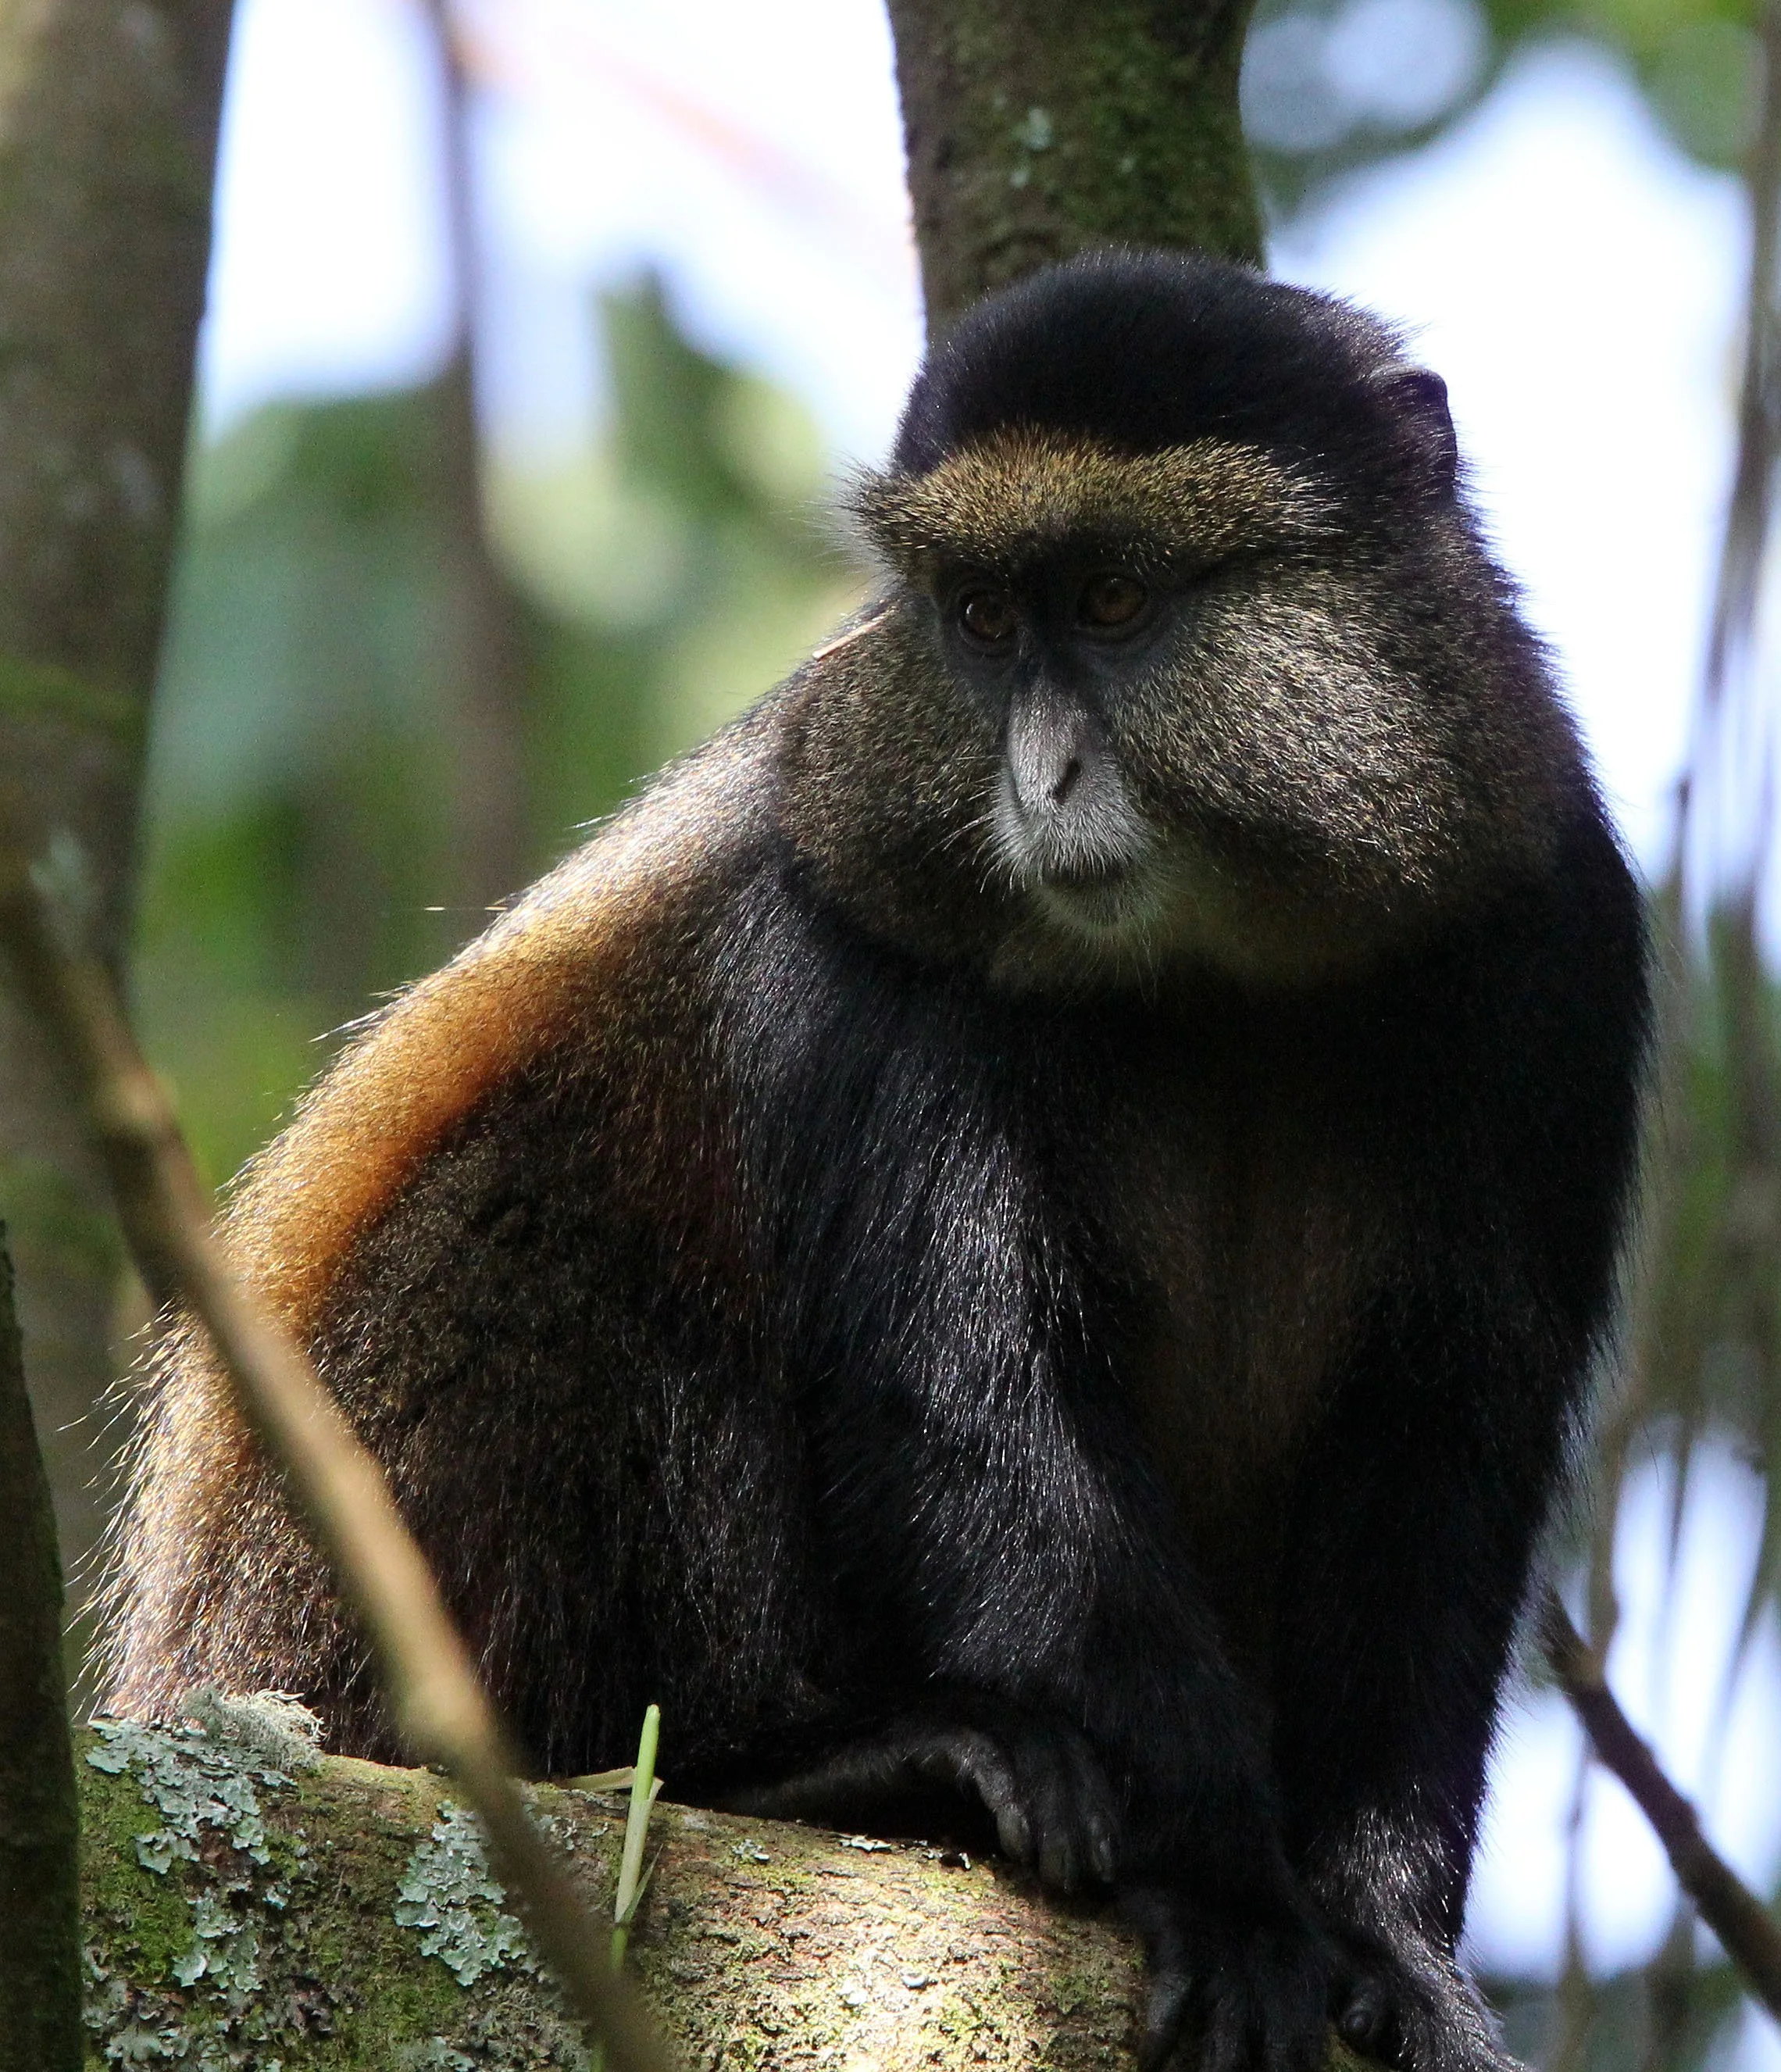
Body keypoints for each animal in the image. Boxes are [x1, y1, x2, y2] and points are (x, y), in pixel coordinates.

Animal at [102, 248, 1649, 2072]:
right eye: (979, 620)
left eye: (1113, 601)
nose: (1039, 777)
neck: (1220, 978)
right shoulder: (877, 943)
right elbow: (979, 1403)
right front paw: (1222, 1889)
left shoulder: (1550, 944)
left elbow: (1444, 1448)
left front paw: (1383, 1937)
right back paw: (831, 1765)